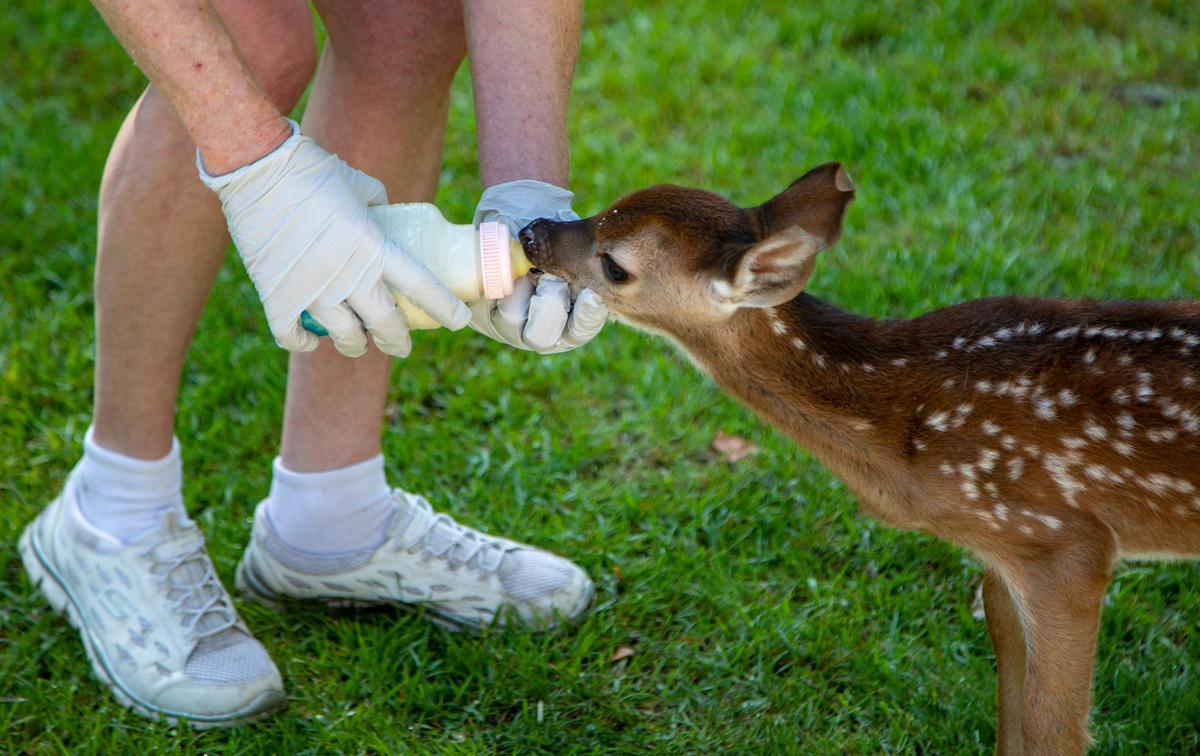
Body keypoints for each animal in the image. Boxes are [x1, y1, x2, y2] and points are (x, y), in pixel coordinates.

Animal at [517, 163, 1200, 754]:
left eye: (615, 265)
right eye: (606, 207)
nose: (531, 232)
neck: (901, 420)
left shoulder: (1067, 542)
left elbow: (1049, 731)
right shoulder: (1004, 556)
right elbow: (1012, 713)